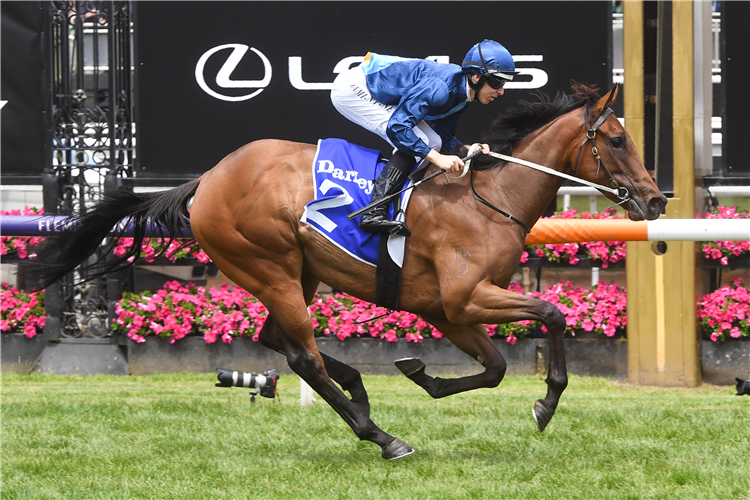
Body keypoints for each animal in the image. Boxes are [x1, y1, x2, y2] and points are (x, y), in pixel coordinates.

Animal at [22, 83, 668, 460]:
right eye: (617, 139)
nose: (656, 200)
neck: (491, 197)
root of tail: (207, 178)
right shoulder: (465, 298)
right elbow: (552, 315)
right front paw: (546, 404)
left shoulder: (448, 309)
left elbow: (495, 368)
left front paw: (421, 374)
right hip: (272, 266)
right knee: (301, 355)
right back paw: (380, 435)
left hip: (296, 273)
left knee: (279, 341)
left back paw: (358, 388)